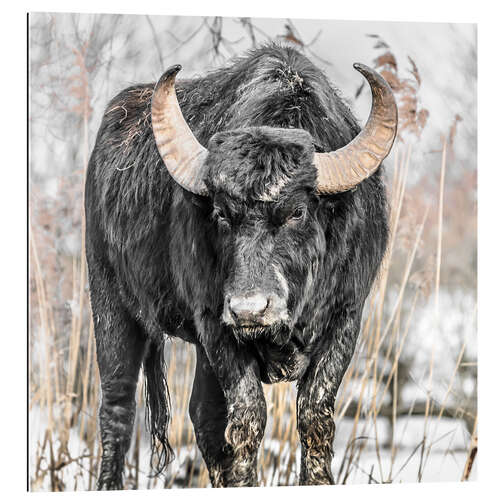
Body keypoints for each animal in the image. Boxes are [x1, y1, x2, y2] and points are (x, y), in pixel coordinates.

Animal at [87, 42, 398, 488]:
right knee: (117, 407)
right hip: (110, 302)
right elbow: (248, 418)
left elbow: (314, 414)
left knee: (203, 415)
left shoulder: (347, 316)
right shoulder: (215, 324)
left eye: (297, 212)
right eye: (221, 214)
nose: (249, 310)